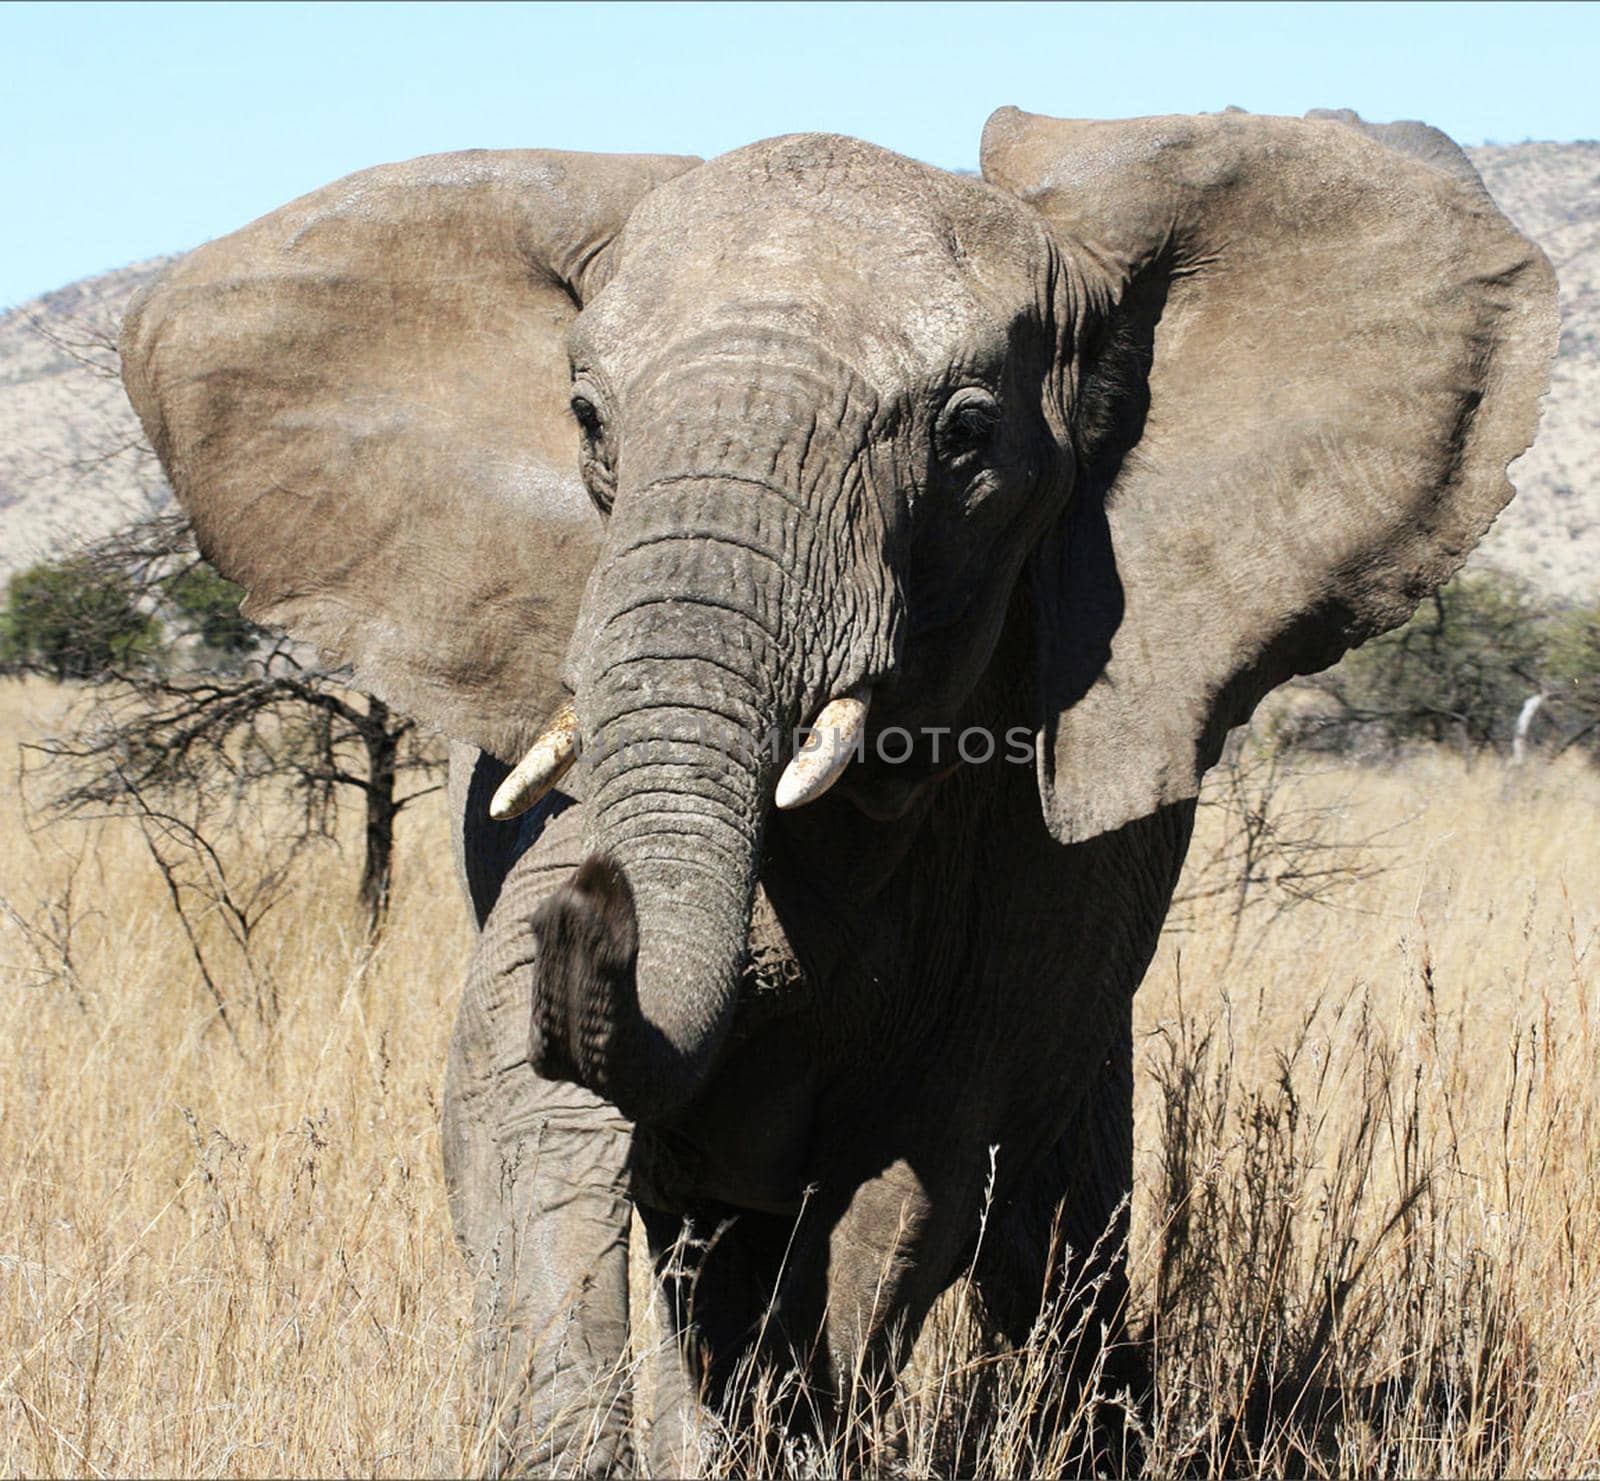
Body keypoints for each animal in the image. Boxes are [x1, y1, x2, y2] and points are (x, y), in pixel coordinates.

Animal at [118, 101, 1555, 1471]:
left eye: (967, 437)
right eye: (588, 421)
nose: (596, 906)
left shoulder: (1027, 873)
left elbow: (913, 1178)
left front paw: (785, 1442)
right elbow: (519, 1104)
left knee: (1046, 1223)